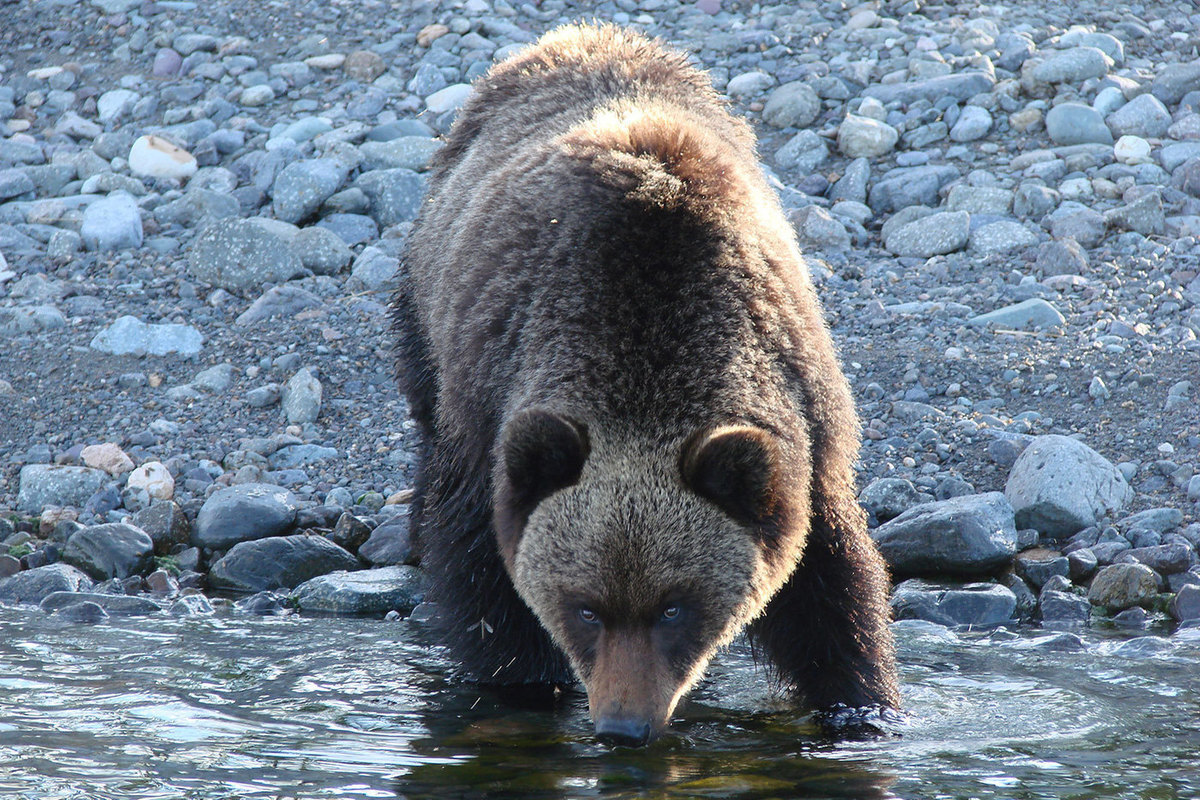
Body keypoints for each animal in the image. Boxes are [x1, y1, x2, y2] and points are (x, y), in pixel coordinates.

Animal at [393, 23, 902, 743]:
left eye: (673, 608)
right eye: (586, 608)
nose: (623, 725)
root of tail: (582, 34)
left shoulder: (807, 422)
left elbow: (831, 587)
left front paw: (861, 704)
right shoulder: (491, 406)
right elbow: (484, 577)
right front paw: (522, 688)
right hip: (429, 301)